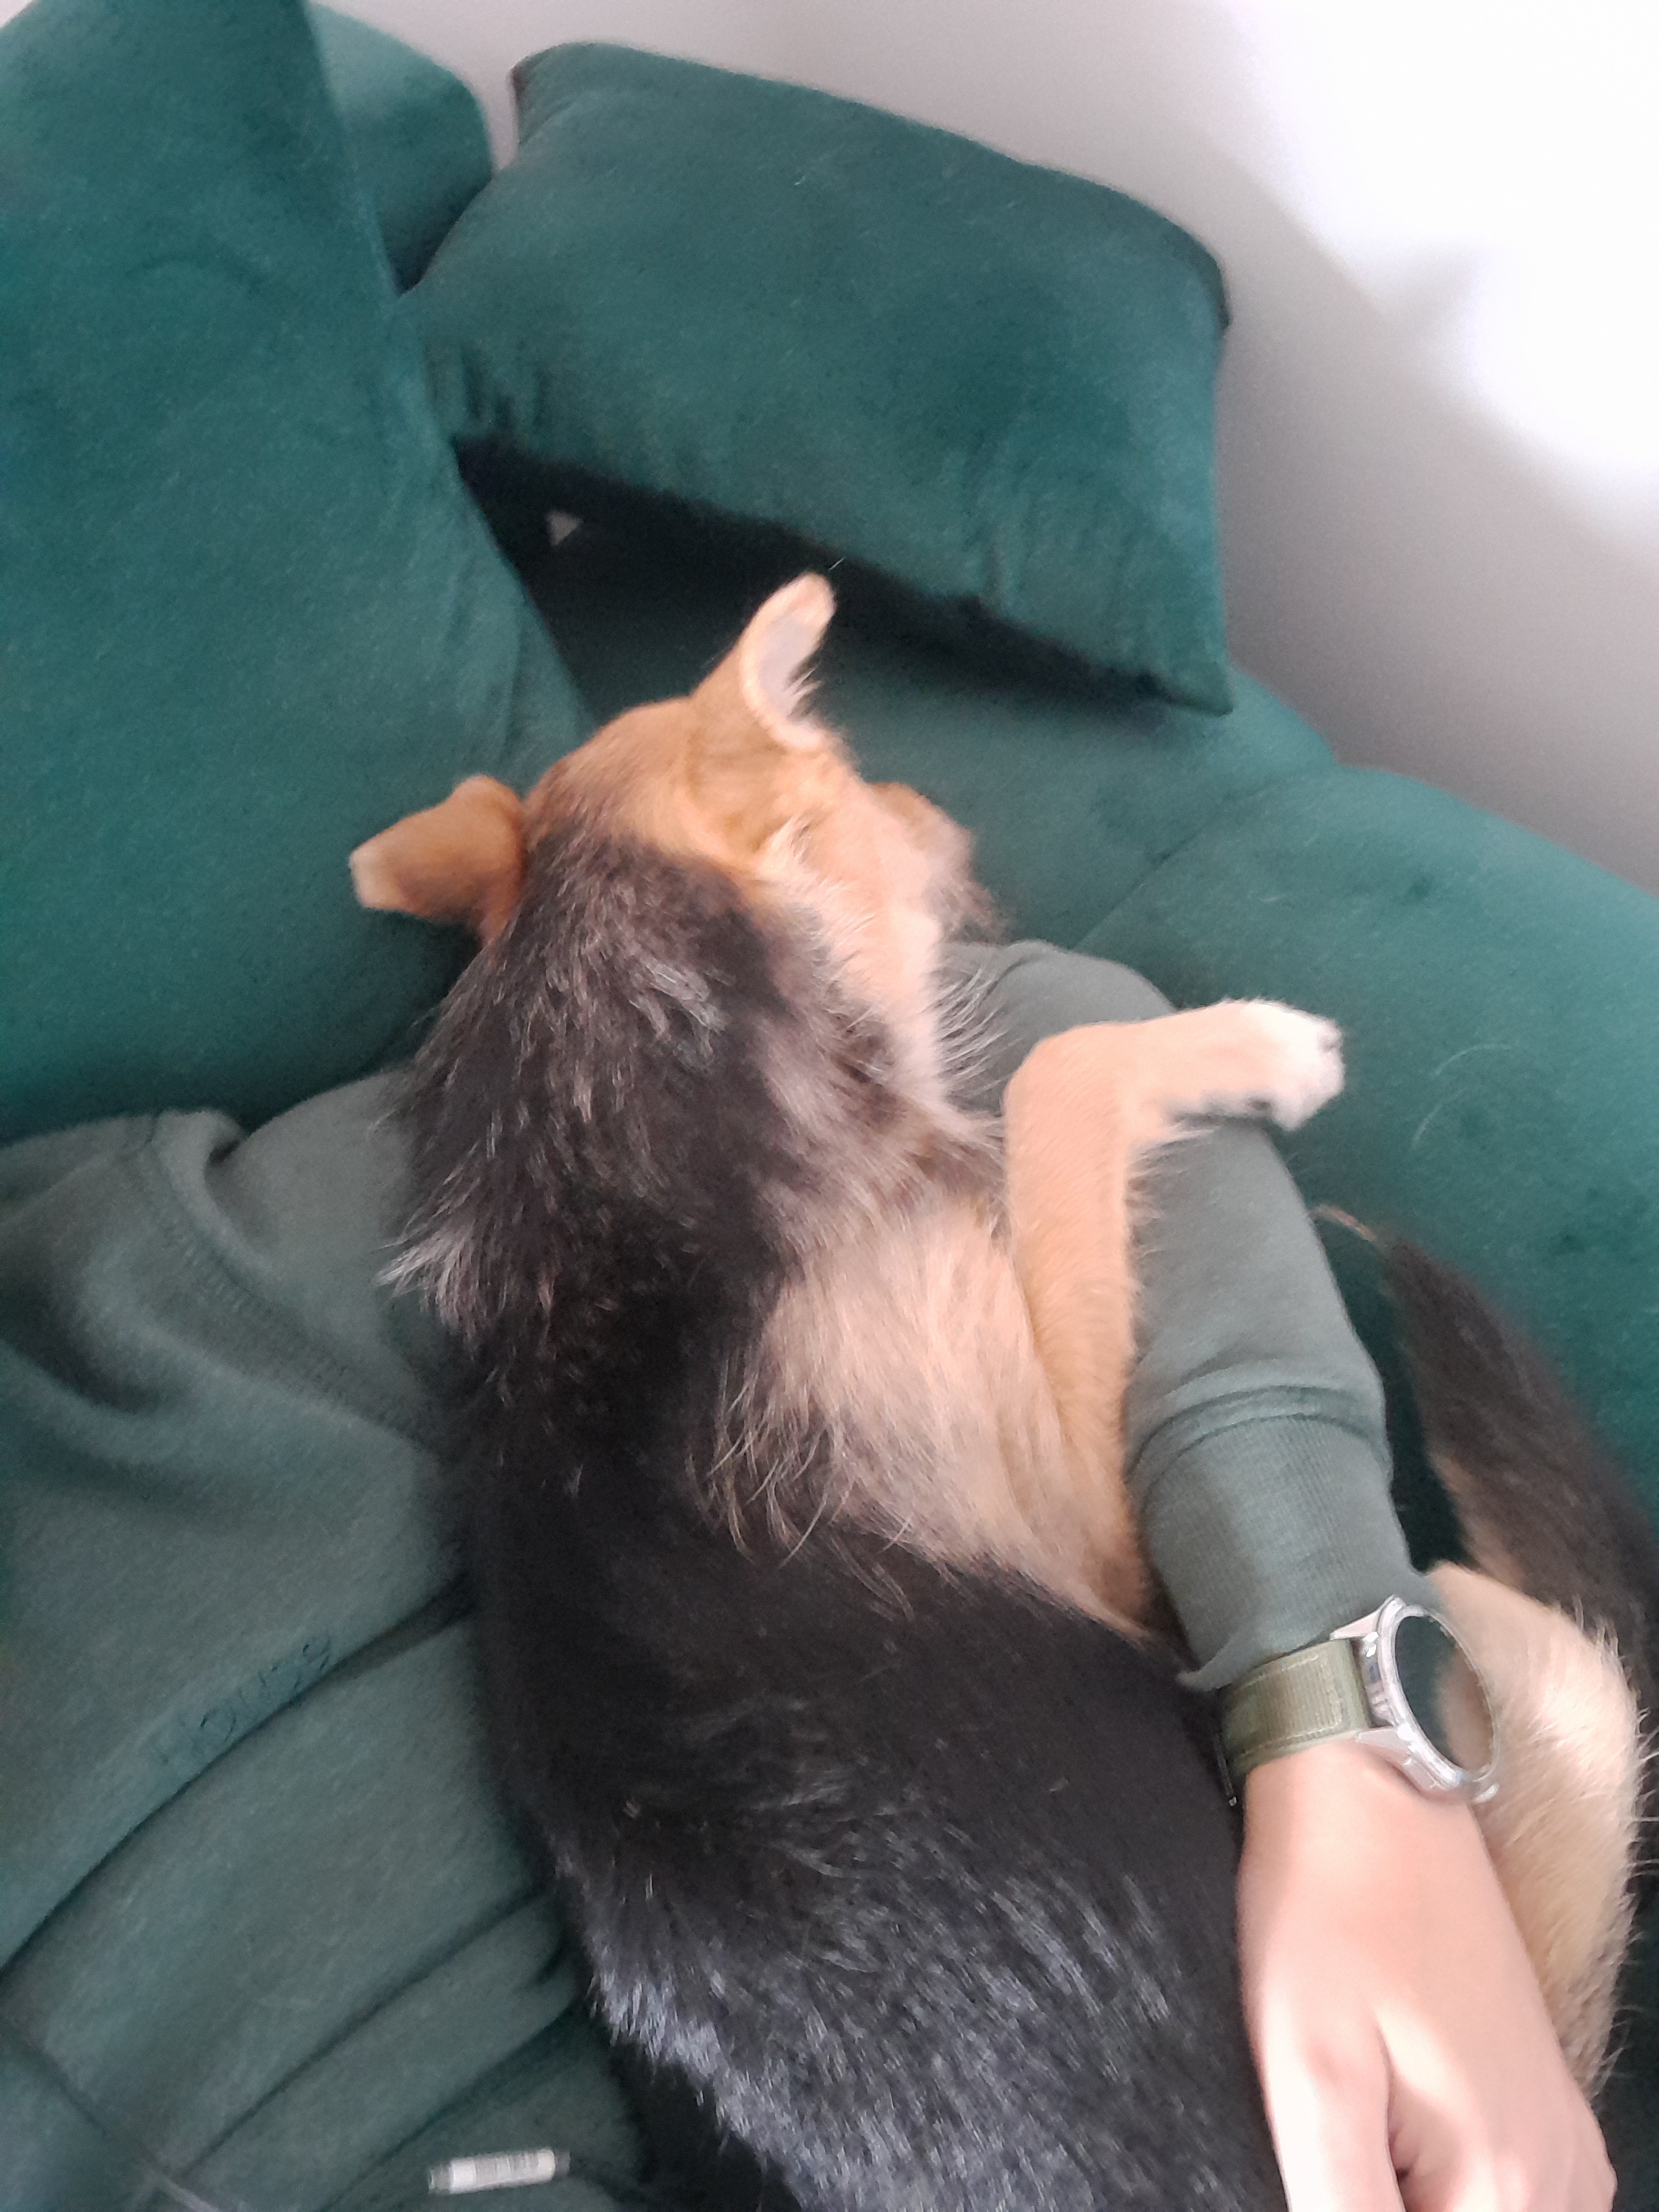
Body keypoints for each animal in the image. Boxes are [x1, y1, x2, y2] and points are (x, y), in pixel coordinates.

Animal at [353, 574, 1652, 2209]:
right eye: (852, 774)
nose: (955, 820)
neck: (601, 1203)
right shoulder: (1084, 1505)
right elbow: (1062, 1080)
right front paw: (1252, 1042)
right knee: (1579, 1666)